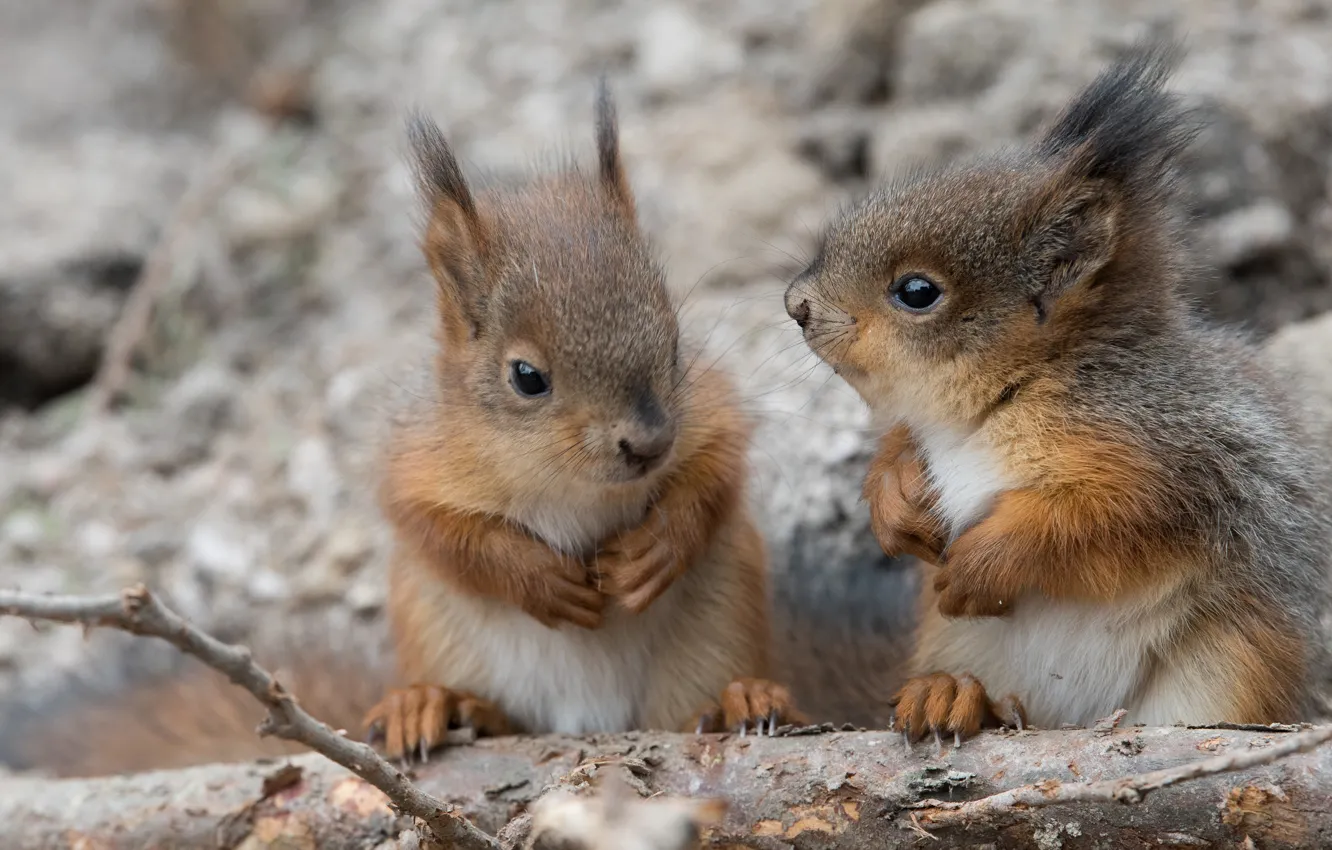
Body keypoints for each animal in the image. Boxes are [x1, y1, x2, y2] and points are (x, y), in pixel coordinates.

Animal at [784, 39, 1332, 744]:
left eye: (917, 292)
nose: (795, 305)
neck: (999, 403)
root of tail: (1074, 719)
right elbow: (901, 447)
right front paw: (894, 501)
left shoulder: (1176, 458)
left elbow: (1093, 524)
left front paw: (985, 561)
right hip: (965, 644)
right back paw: (952, 695)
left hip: (1227, 665)